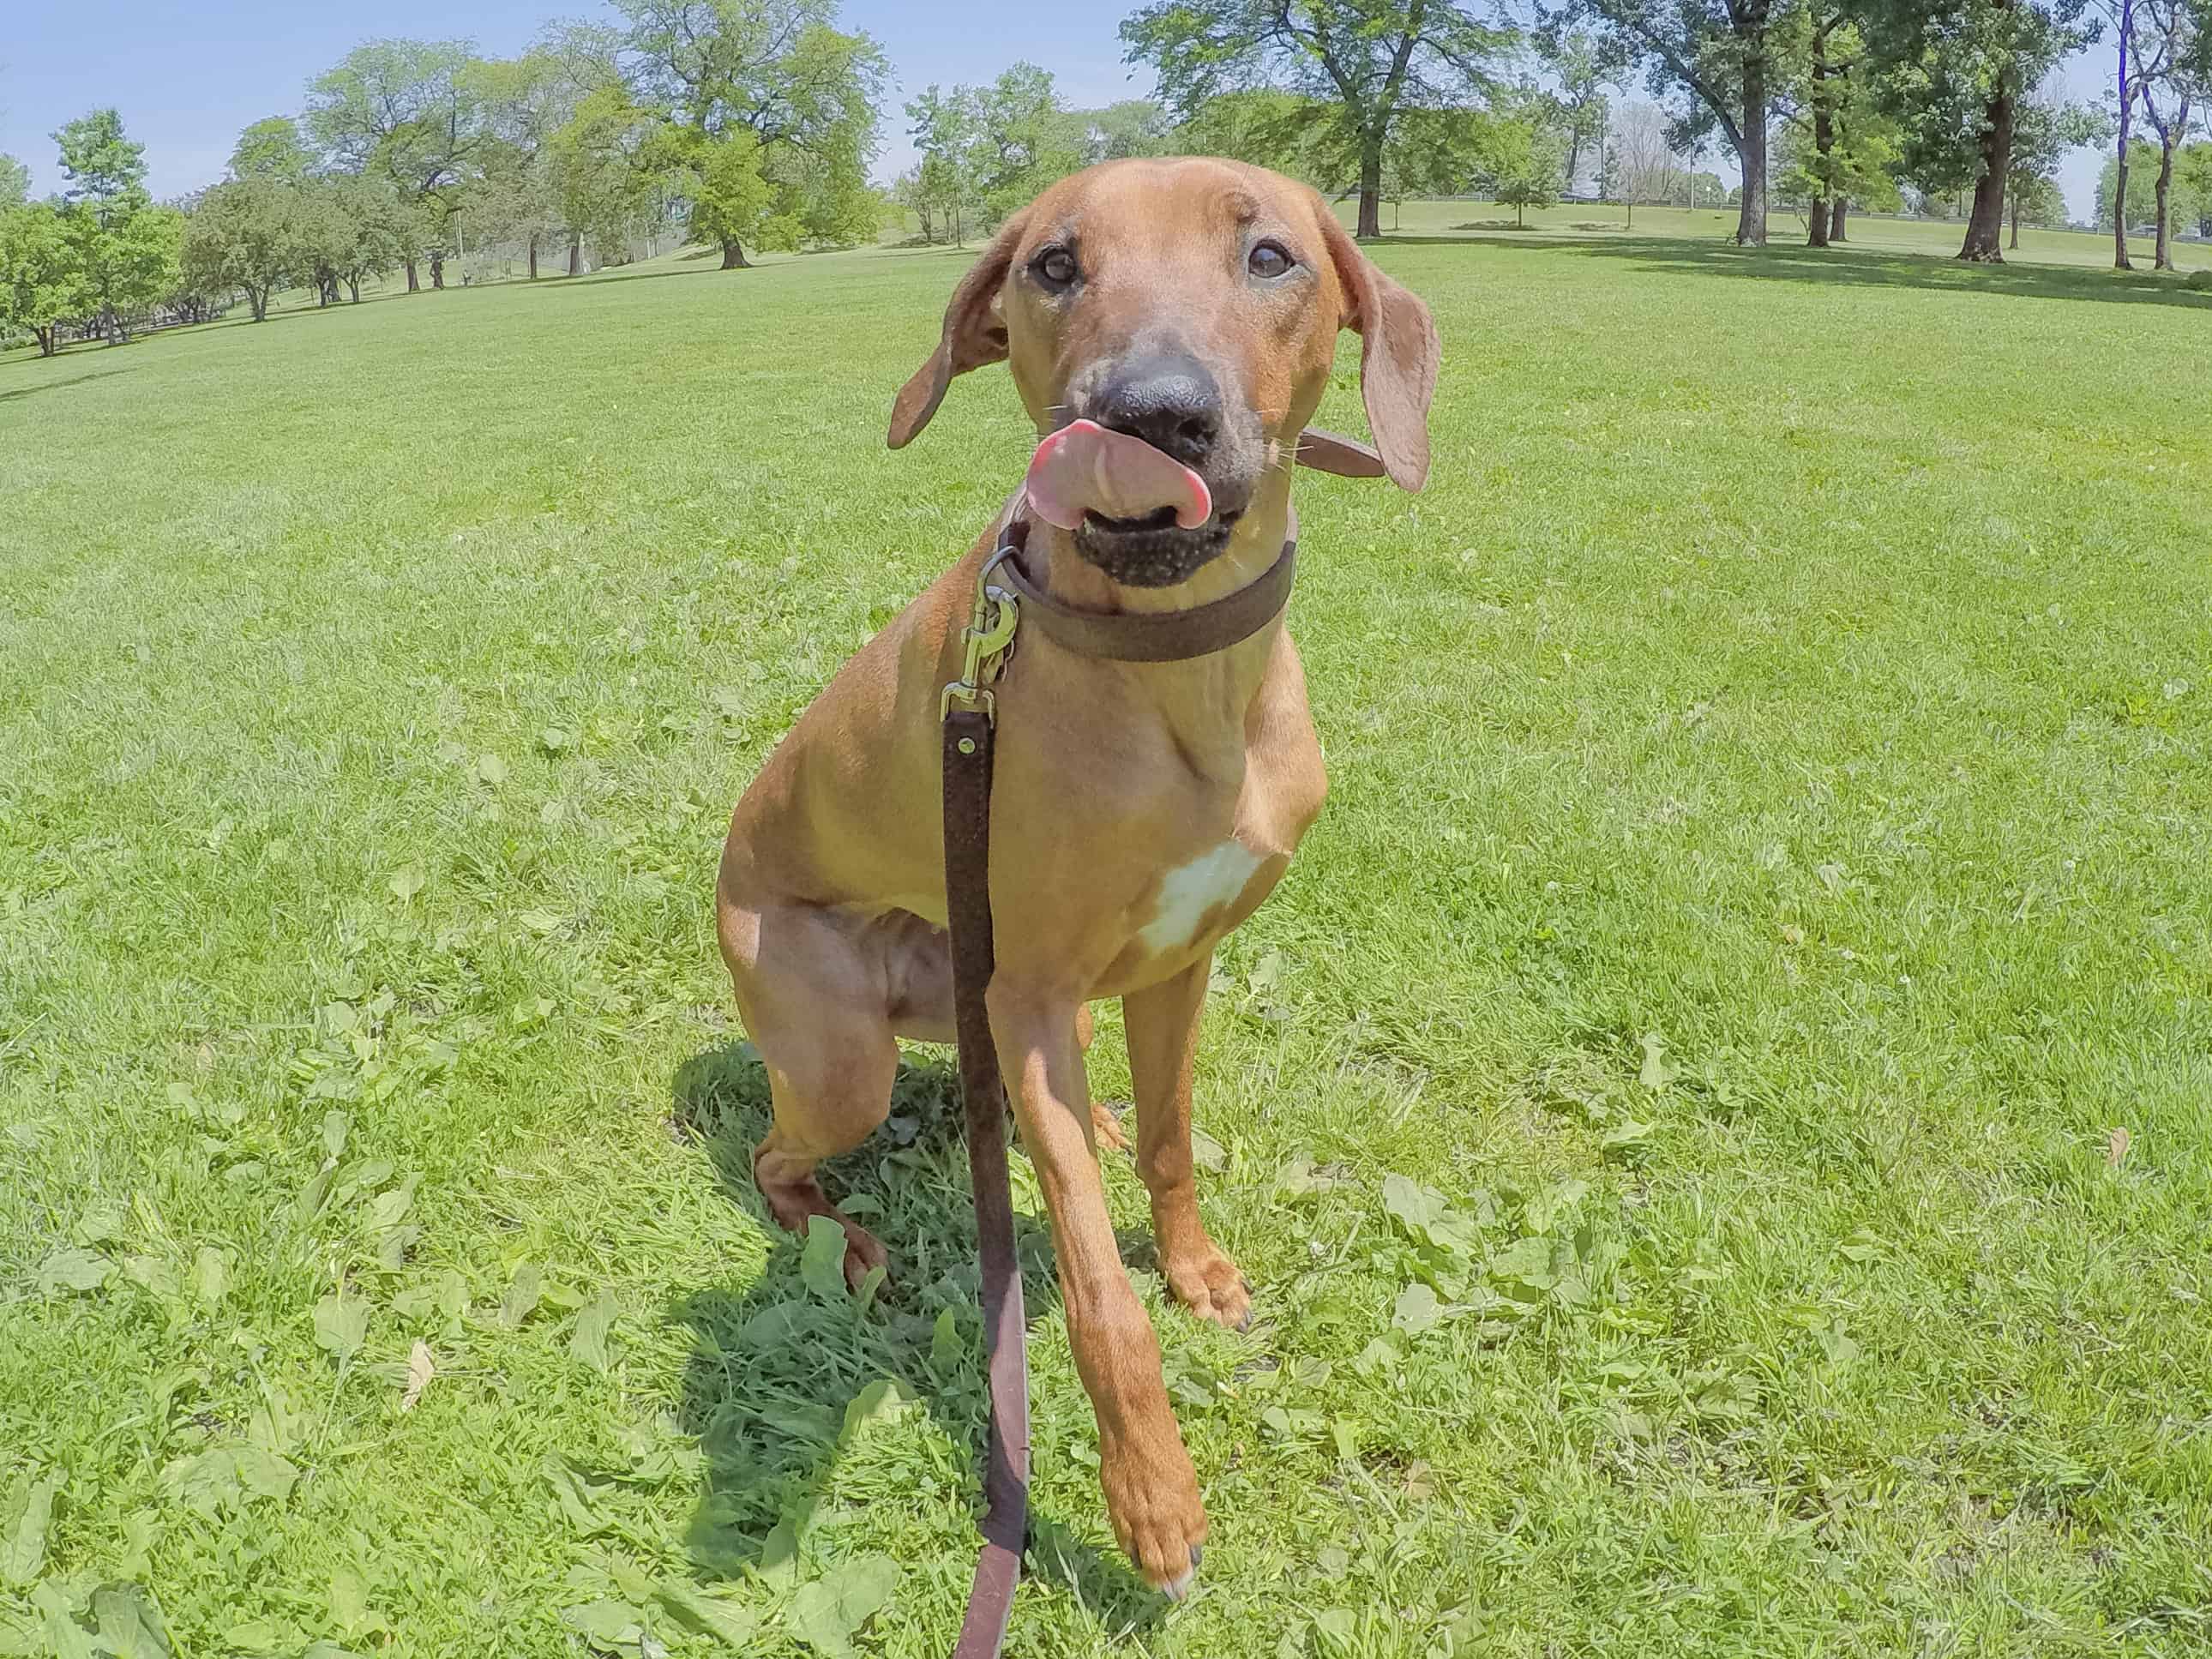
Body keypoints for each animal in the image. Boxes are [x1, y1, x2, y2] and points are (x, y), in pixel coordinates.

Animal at [712, 159, 1433, 1601]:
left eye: (1270, 255)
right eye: (1054, 264)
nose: (1150, 412)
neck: (1178, 676)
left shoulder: (1180, 960)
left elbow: (1168, 1141)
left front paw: (1192, 1261)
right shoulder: (1034, 994)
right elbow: (1101, 1294)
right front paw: (1151, 1496)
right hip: (846, 1057)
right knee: (775, 1152)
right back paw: (848, 1234)